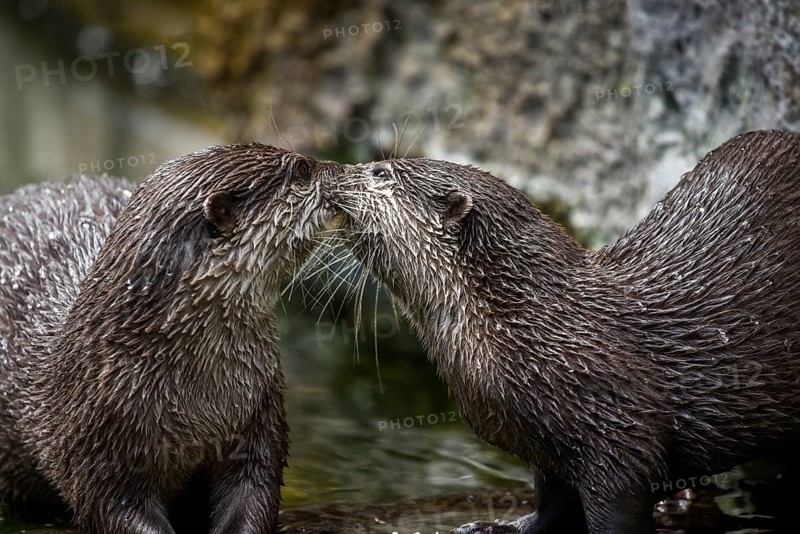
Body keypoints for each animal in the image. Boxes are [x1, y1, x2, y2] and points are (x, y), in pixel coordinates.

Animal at [0, 144, 337, 533]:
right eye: (303, 169)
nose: (340, 169)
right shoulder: (90, 440)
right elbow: (108, 503)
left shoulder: (260, 411)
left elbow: (256, 486)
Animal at [324, 130, 800, 534]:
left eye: (380, 172)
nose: (325, 171)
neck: (536, 325)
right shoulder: (547, 444)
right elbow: (552, 503)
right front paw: (494, 526)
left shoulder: (619, 431)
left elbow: (617, 506)